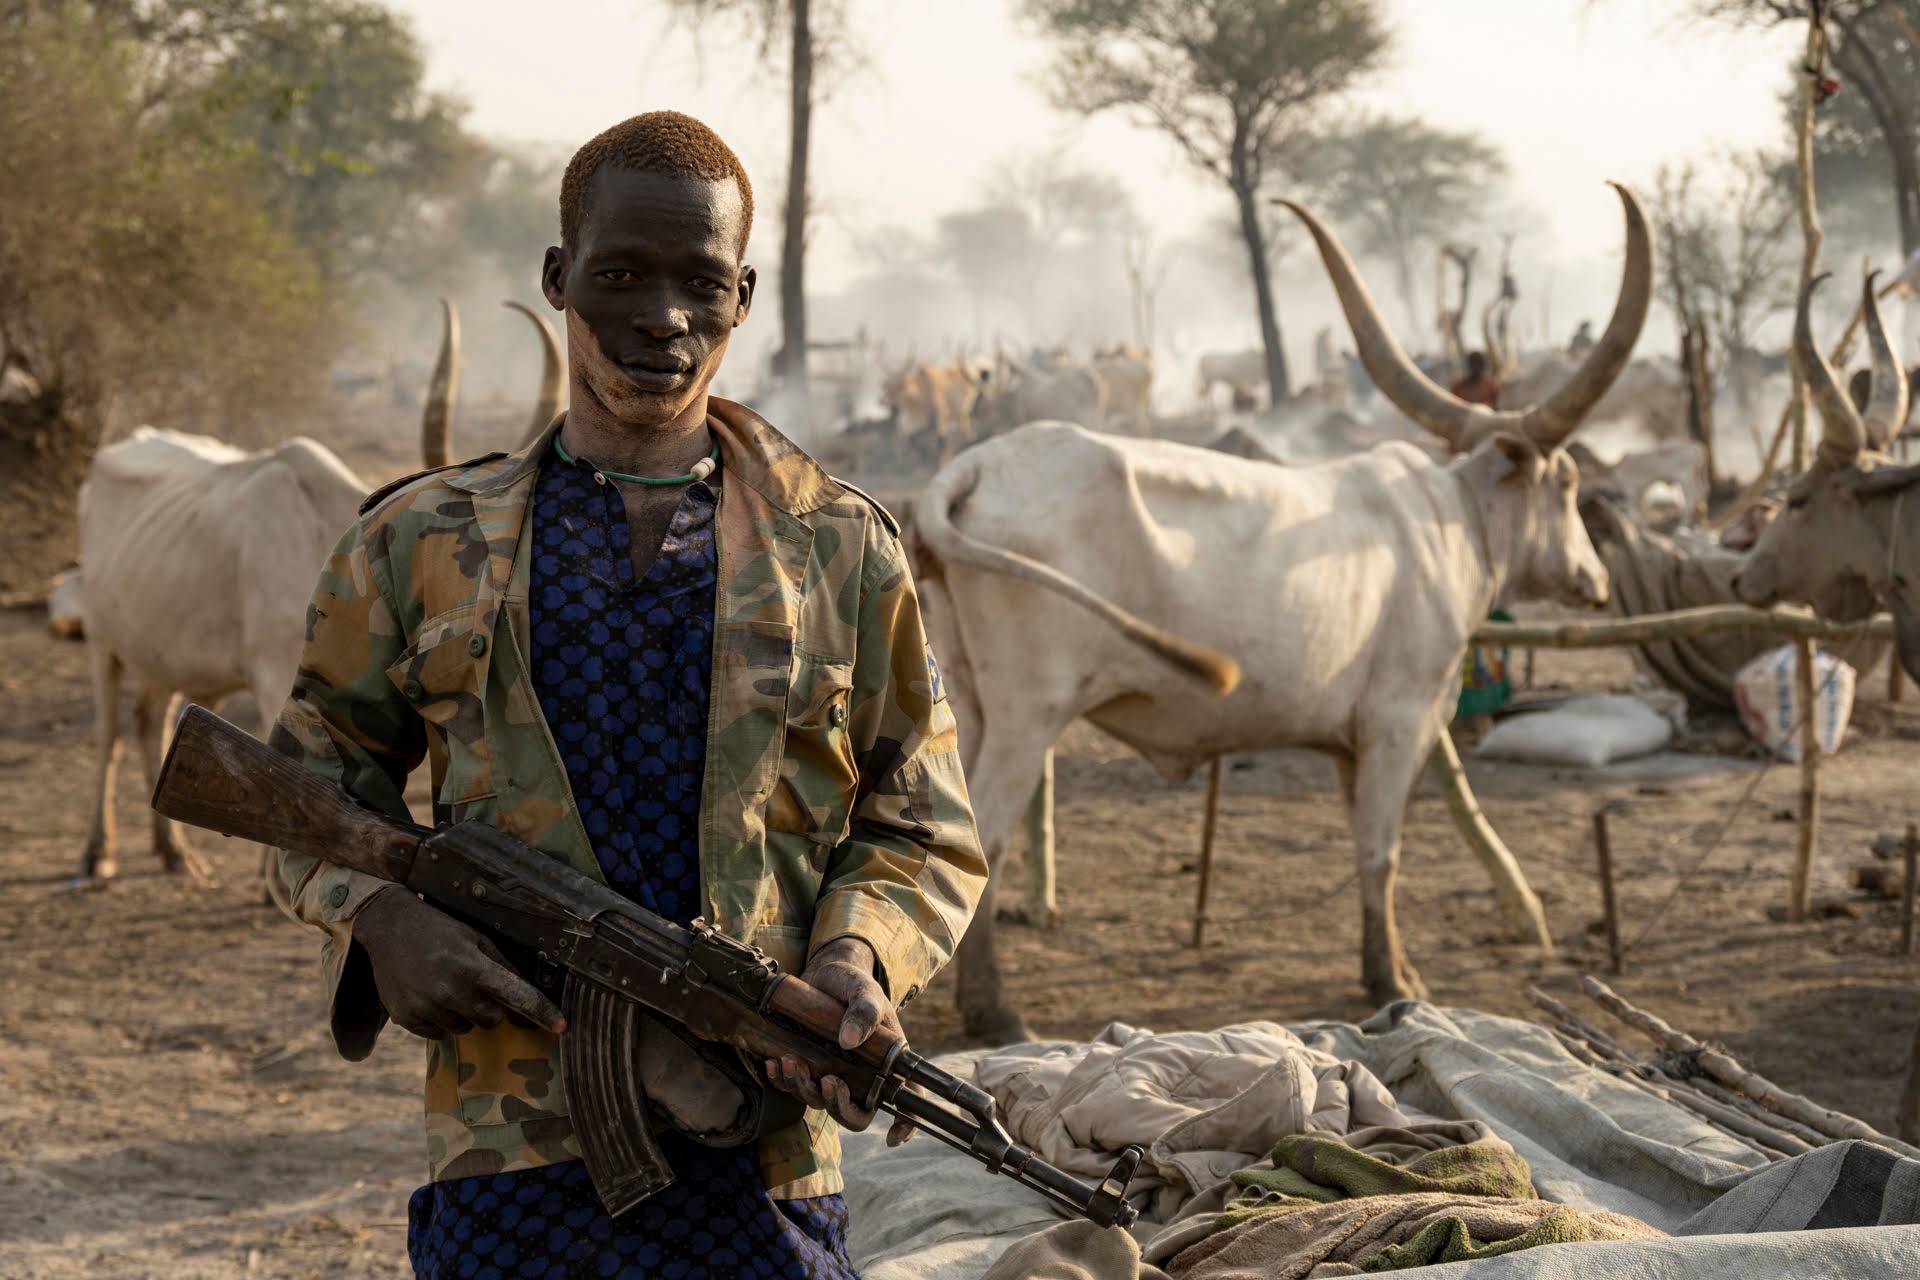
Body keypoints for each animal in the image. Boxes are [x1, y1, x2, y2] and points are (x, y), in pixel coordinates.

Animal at [75, 301, 556, 882]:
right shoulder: (273, 672)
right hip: (102, 642)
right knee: (109, 736)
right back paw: (98, 851)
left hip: (162, 651)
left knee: (151, 720)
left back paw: (173, 851)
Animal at [913, 182, 1651, 1043]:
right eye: (1567, 483)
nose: (1593, 581)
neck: (1454, 520)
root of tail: (973, 466)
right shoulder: (1399, 722)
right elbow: (1381, 852)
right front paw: (1394, 980)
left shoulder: (1347, 744)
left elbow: (1368, 847)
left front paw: (1387, 967)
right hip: (1028, 716)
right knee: (988, 837)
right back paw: (995, 1011)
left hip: (966, 702)